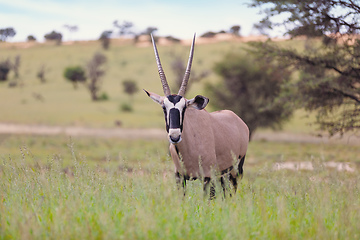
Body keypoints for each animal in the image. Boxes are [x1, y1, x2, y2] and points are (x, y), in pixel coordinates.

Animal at [145, 34, 249, 197]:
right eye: (163, 107)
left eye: (184, 108)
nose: (175, 137)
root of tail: (239, 121)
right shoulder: (180, 177)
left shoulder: (207, 177)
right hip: (222, 174)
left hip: (235, 170)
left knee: (232, 191)